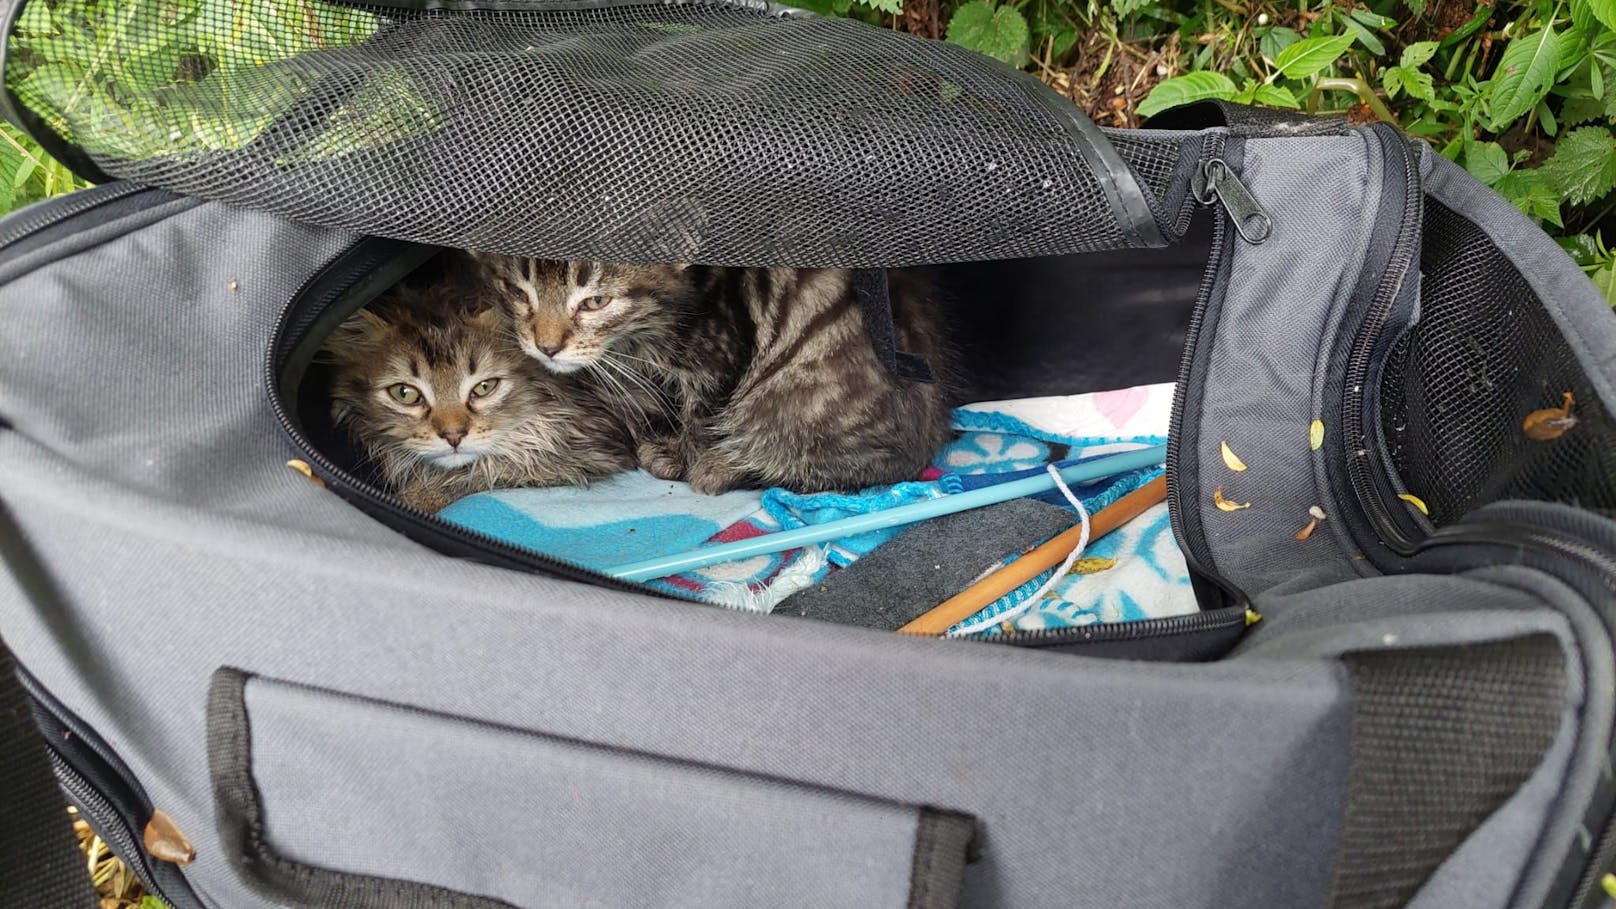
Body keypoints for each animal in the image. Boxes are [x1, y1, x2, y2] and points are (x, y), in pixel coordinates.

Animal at [321, 283, 636, 511]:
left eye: (485, 388)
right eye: (405, 394)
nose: (453, 436)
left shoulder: (590, 453)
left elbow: (483, 473)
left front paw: (416, 498)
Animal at [471, 255, 950, 491]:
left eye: (595, 302)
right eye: (519, 293)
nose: (547, 346)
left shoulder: (718, 358)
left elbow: (699, 420)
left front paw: (682, 460)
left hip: (793, 406)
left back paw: (723, 468)